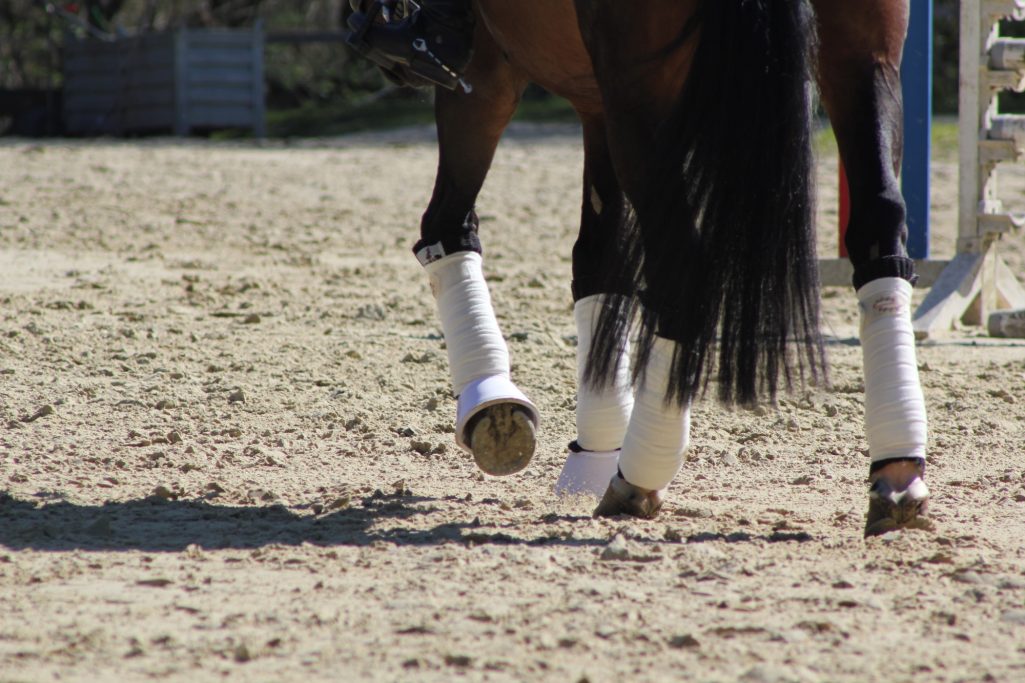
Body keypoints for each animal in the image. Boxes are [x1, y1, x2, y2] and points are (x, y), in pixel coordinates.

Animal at [344, 0, 930, 537]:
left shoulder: (486, 74)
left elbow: (446, 228)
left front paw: (491, 404)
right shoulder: (593, 99)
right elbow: (598, 262)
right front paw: (592, 451)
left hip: (640, 92)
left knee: (683, 264)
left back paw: (639, 474)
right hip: (864, 56)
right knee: (880, 230)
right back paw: (899, 472)